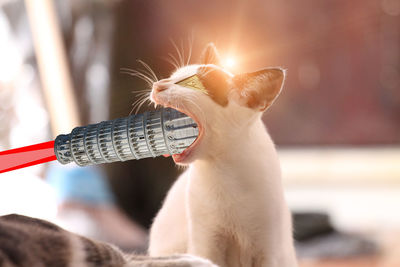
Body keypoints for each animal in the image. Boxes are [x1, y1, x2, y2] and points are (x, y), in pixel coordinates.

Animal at [148, 44, 298, 267]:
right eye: (172, 77)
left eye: (191, 84)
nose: (158, 85)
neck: (222, 171)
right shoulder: (207, 244)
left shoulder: (267, 251)